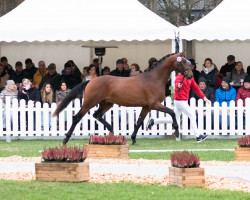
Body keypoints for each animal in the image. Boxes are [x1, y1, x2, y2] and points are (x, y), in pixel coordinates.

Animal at [53, 52, 193, 145]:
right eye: (183, 61)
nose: (190, 75)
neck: (154, 78)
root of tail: (91, 81)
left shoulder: (146, 106)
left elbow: (139, 122)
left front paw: (134, 139)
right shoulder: (155, 104)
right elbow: (172, 112)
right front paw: (176, 130)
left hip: (106, 104)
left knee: (97, 115)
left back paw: (112, 131)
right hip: (89, 103)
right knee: (77, 117)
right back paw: (65, 139)